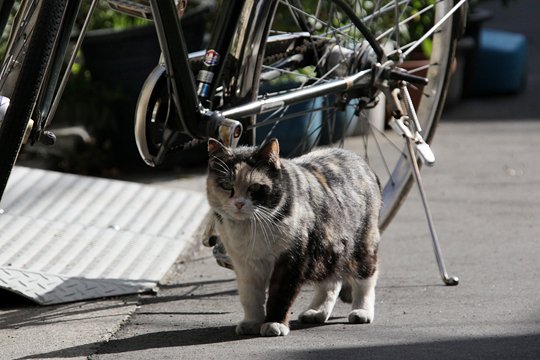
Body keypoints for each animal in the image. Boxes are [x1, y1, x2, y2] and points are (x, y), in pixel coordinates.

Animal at [206, 138, 380, 338]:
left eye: (255, 187)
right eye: (227, 185)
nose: (239, 203)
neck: (251, 229)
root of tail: (356, 158)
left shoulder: (291, 259)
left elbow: (280, 295)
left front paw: (274, 323)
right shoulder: (245, 265)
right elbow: (250, 296)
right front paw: (252, 322)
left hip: (362, 244)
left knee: (366, 277)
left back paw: (362, 311)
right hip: (329, 248)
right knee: (331, 282)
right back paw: (316, 312)